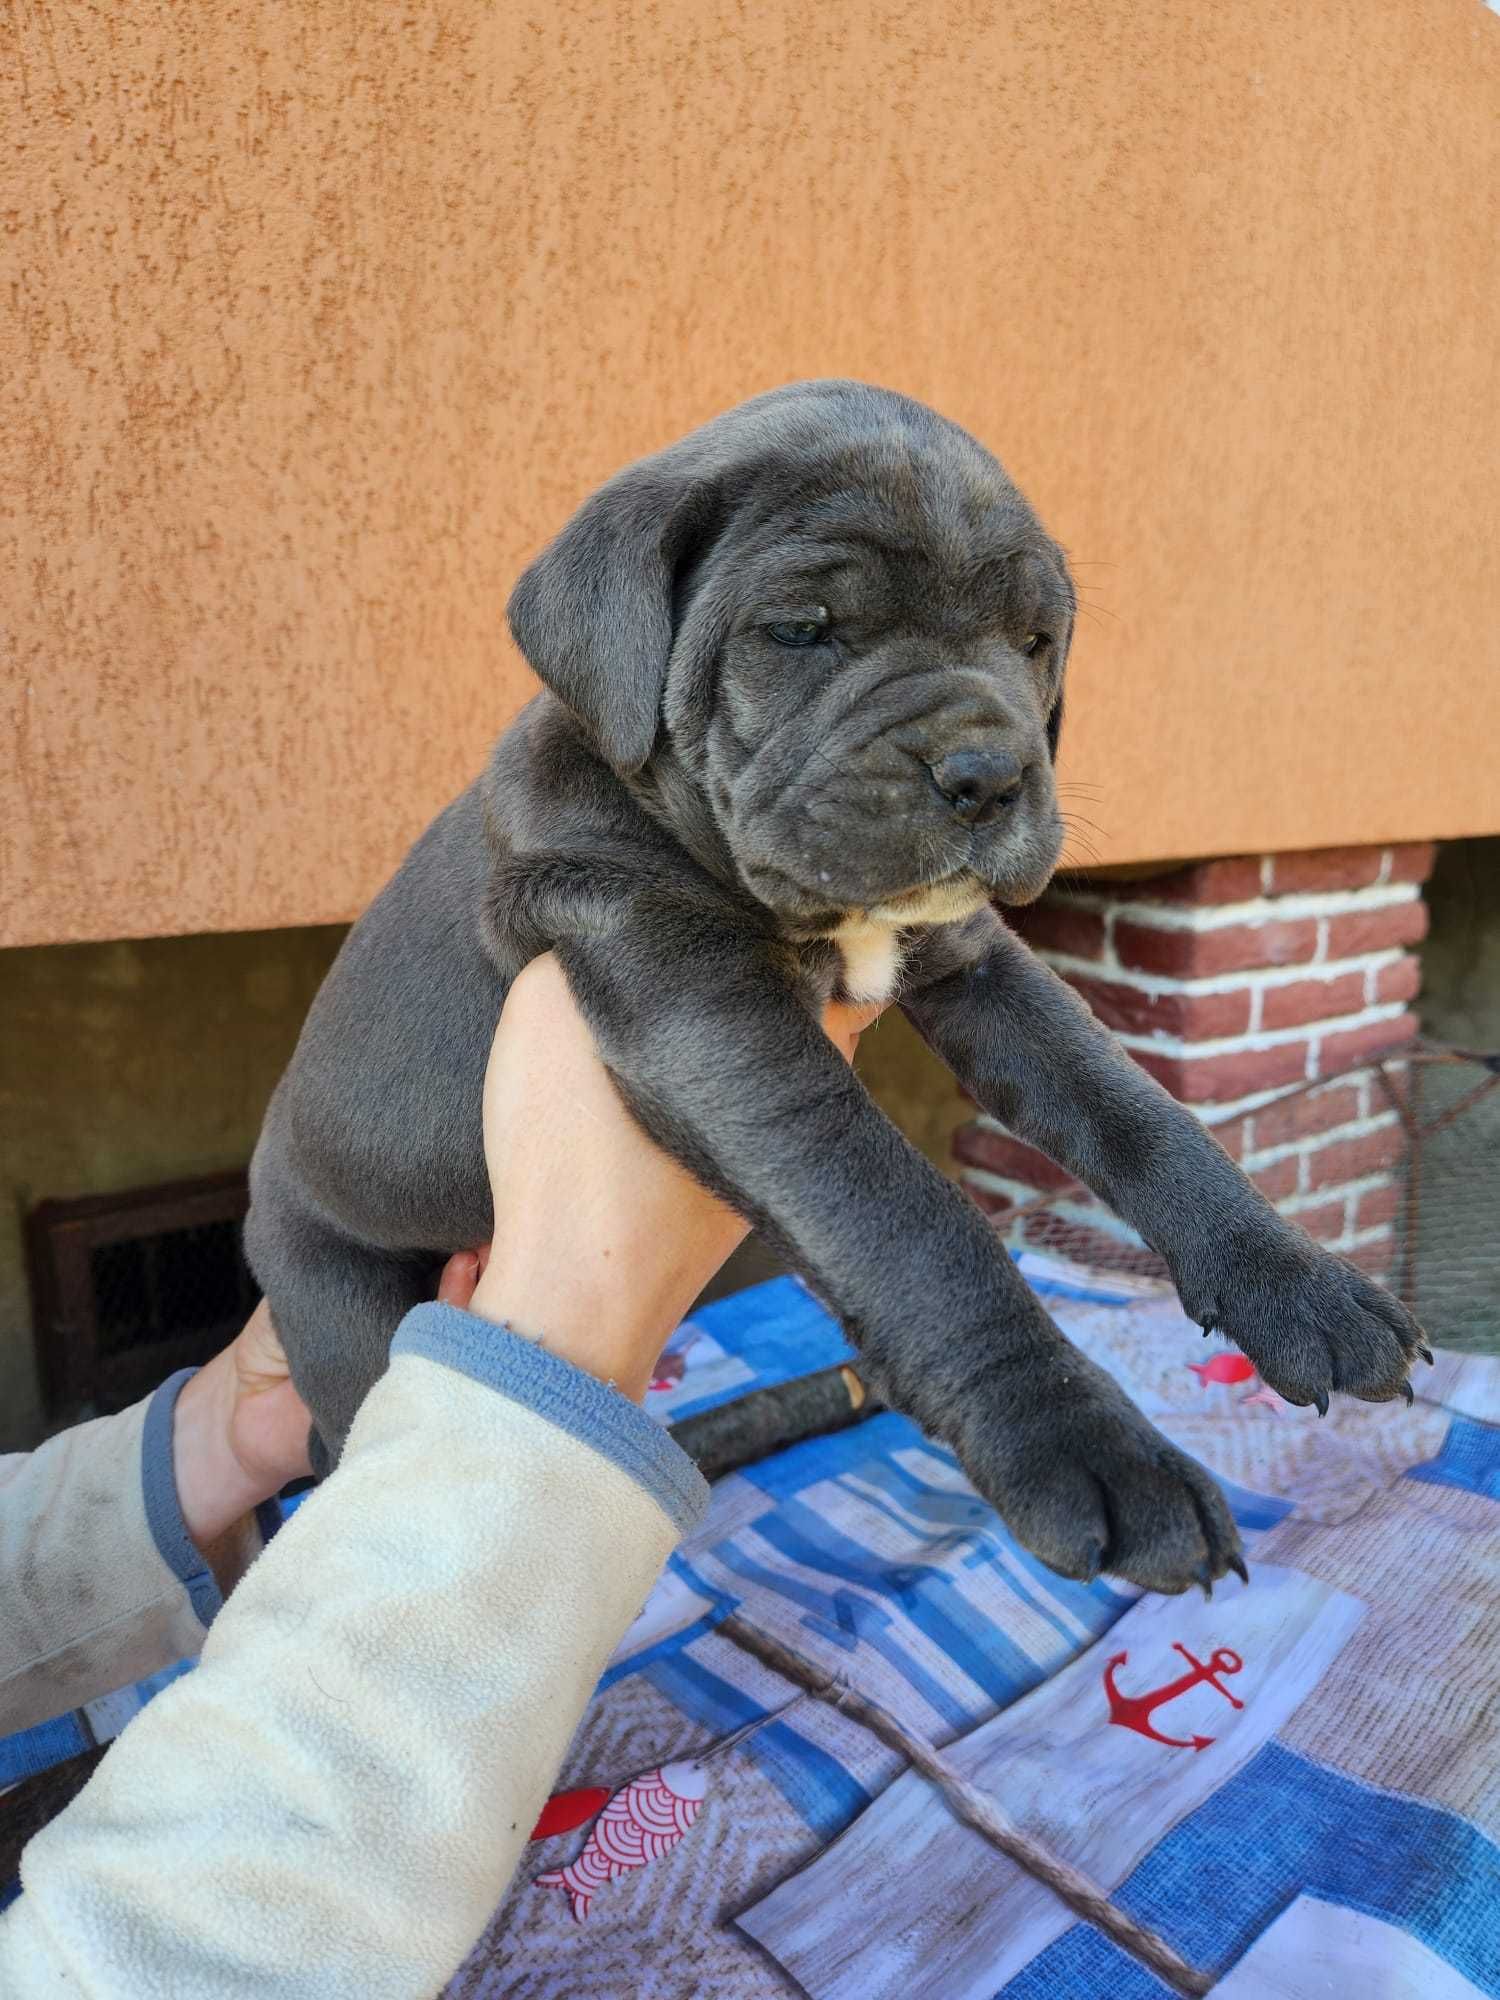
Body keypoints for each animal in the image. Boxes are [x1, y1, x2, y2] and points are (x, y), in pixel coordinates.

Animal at [250, 376, 1432, 1592]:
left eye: (1033, 641)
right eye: (802, 630)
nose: (990, 773)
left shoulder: (974, 962)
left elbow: (1134, 1107)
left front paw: (1296, 1281)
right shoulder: (703, 1003)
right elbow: (911, 1222)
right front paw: (1081, 1442)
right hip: (338, 1299)